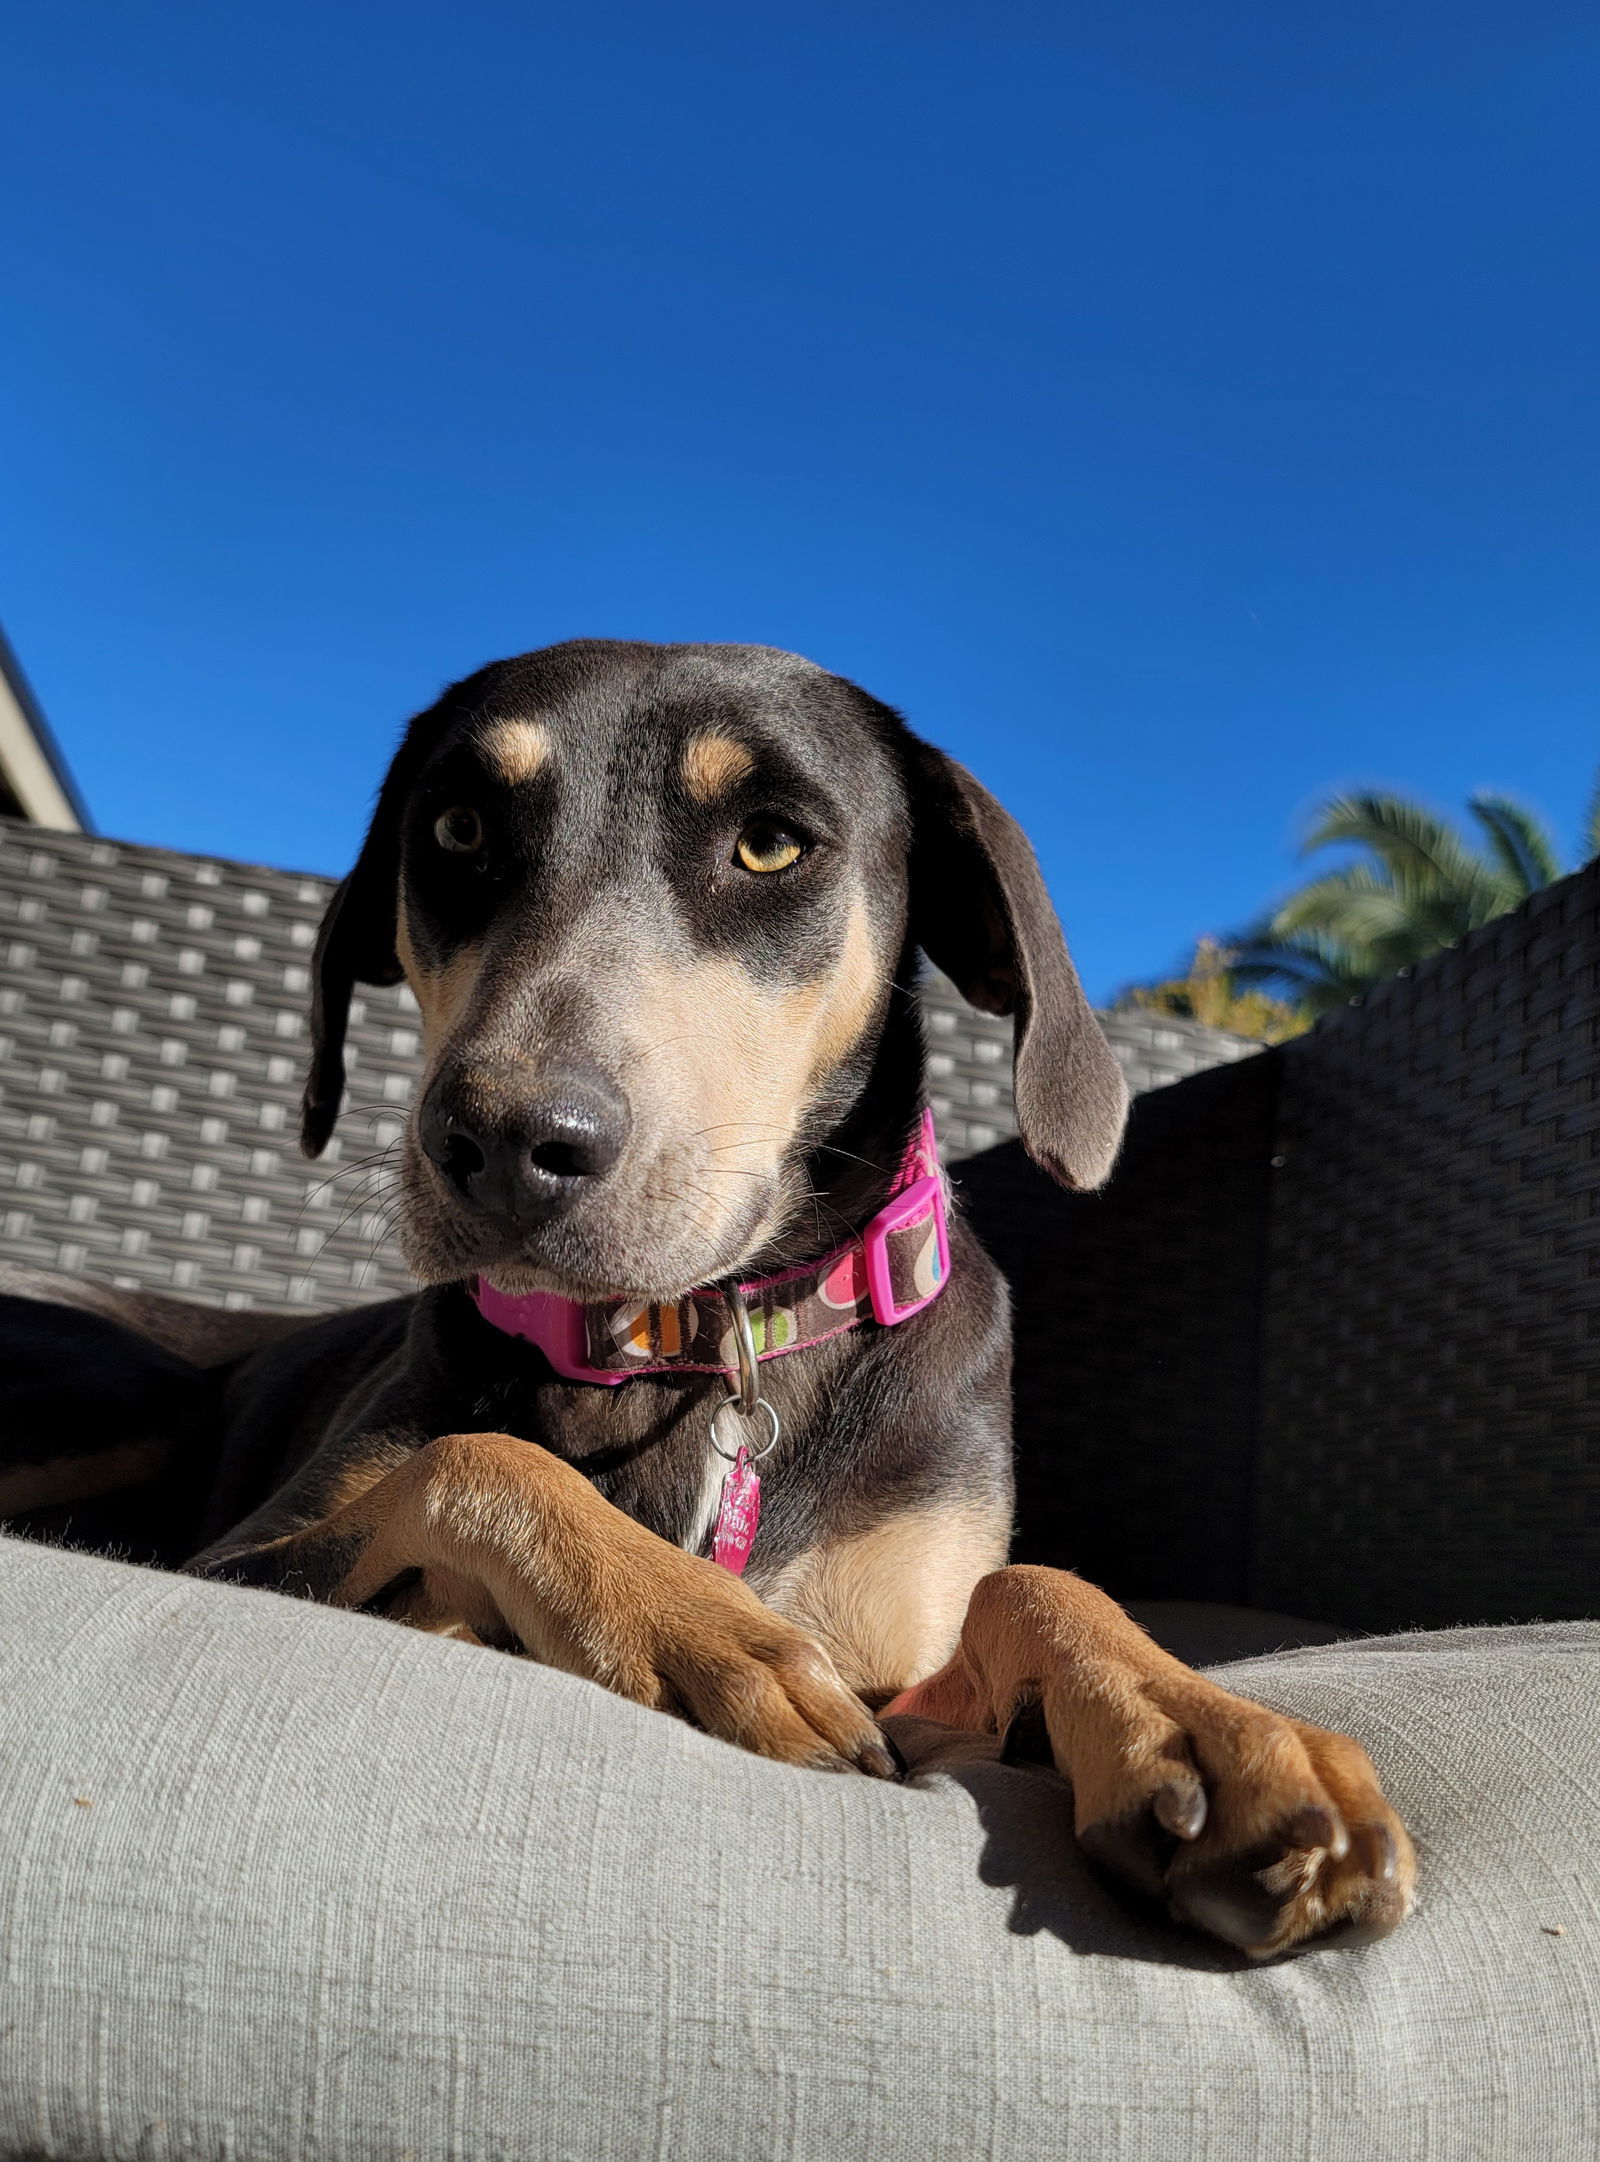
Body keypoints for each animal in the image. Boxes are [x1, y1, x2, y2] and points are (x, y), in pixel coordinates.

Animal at [0, 635, 1409, 1963]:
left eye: (770, 842)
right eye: (457, 831)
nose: (502, 1141)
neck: (693, 1336)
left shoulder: (913, 1672)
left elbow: (1029, 1582)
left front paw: (1210, 1728)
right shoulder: (236, 1560)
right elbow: (480, 1456)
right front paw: (700, 1633)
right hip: (128, 1390)